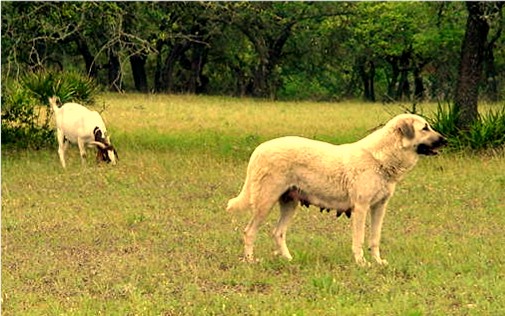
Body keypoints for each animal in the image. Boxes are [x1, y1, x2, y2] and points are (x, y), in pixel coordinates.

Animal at [228, 114, 444, 266]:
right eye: (425, 128)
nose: (446, 140)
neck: (381, 158)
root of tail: (259, 149)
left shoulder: (379, 207)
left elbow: (375, 239)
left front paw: (377, 262)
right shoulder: (361, 208)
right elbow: (359, 239)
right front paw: (361, 263)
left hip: (290, 204)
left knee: (277, 232)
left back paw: (289, 259)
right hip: (265, 202)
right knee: (249, 231)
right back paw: (250, 261)